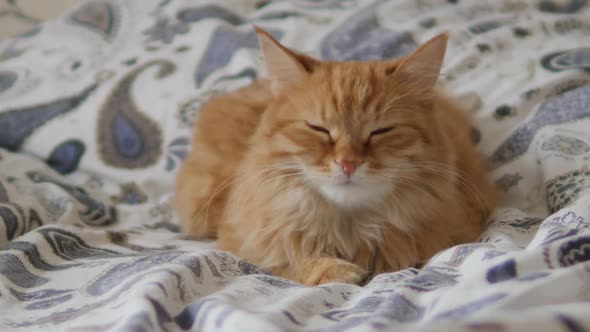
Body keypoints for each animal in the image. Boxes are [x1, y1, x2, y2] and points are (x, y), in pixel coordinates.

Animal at [176, 27, 500, 286]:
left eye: (380, 131)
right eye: (319, 129)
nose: (348, 163)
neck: (349, 228)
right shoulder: (247, 244)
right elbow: (289, 263)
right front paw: (337, 271)